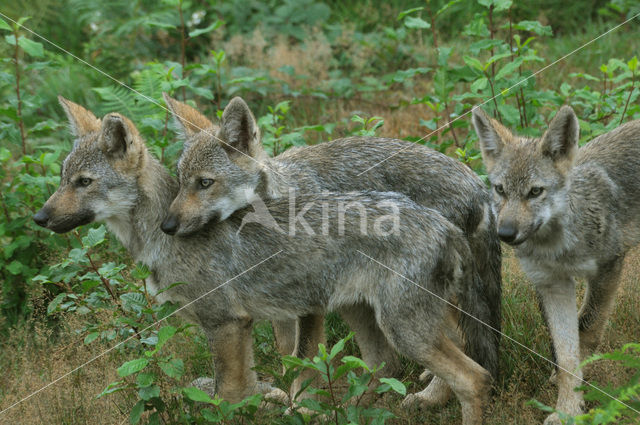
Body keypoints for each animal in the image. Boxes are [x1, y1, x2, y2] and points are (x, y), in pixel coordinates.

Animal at [33, 97, 496, 424]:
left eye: (84, 183)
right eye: (62, 180)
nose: (39, 217)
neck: (156, 240)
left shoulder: (226, 324)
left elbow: (228, 397)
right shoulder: (252, 325)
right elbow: (253, 386)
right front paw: (278, 403)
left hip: (406, 330)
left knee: (474, 377)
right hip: (365, 315)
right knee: (386, 367)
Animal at [470, 104, 640, 422]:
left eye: (535, 191)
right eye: (500, 190)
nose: (505, 233)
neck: (557, 248)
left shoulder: (608, 268)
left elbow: (587, 329)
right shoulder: (552, 285)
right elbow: (565, 357)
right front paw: (568, 410)